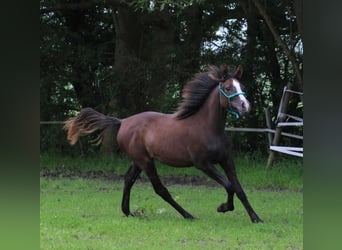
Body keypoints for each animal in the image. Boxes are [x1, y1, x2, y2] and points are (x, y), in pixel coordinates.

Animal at [63, 64, 264, 223]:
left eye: (242, 86)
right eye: (228, 88)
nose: (245, 106)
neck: (208, 127)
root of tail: (123, 121)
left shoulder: (226, 160)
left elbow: (239, 189)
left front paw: (256, 218)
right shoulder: (203, 164)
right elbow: (229, 186)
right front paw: (223, 207)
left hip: (139, 161)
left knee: (128, 179)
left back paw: (127, 212)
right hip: (145, 161)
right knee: (160, 189)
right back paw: (188, 215)